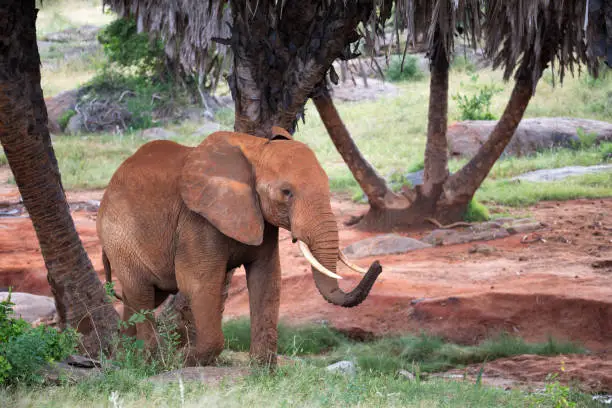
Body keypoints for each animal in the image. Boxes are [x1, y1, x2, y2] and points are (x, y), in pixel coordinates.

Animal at [97, 127, 382, 364]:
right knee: (141, 292)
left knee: (140, 296)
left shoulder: (261, 221)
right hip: (120, 237)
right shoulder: (197, 221)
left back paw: (124, 359)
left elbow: (266, 279)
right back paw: (152, 361)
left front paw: (263, 370)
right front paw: (187, 360)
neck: (256, 150)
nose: (377, 265)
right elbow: (198, 283)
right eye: (286, 193)